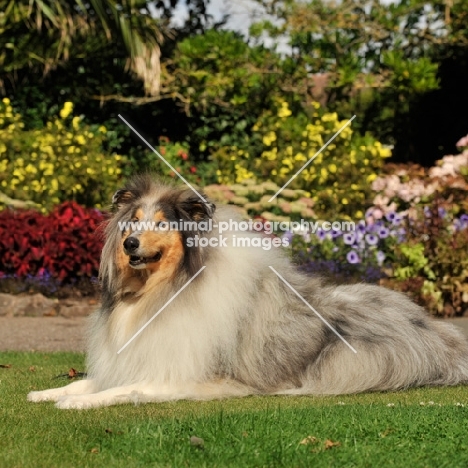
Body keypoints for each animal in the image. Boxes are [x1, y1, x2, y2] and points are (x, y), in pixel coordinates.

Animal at [28, 174, 468, 408]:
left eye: (161, 223)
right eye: (132, 221)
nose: (129, 244)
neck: (163, 291)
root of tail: (439, 330)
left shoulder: (181, 375)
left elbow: (125, 388)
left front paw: (77, 403)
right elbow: (92, 380)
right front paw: (47, 392)